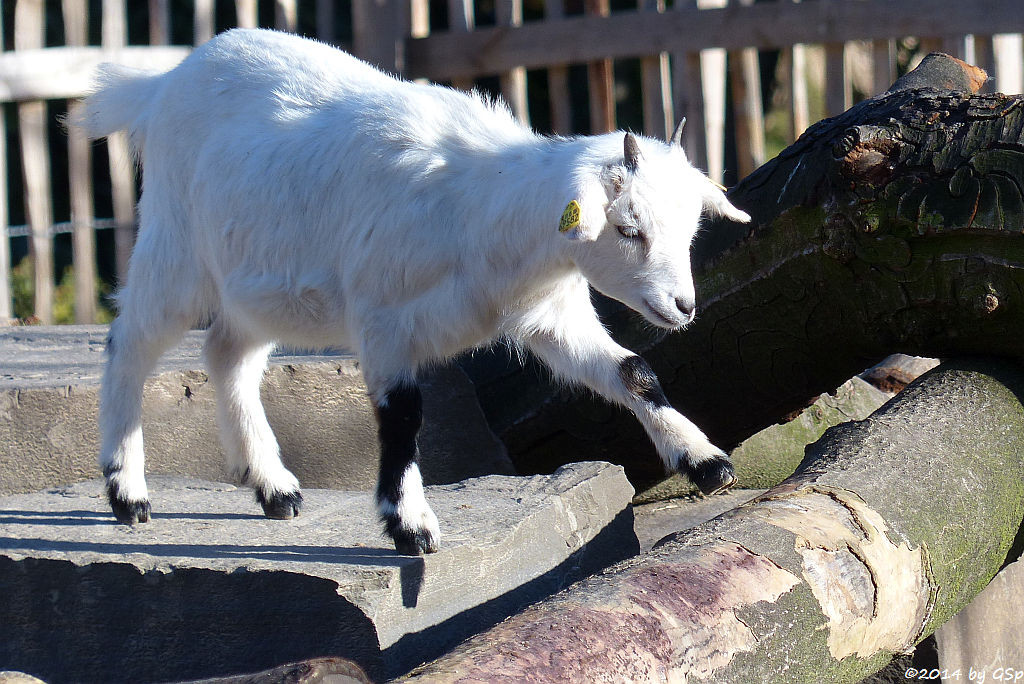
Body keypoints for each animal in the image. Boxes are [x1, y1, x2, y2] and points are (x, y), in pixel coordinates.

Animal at [75, 29, 749, 557]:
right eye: (629, 229)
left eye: (691, 228)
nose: (684, 307)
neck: (481, 208)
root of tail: (164, 82)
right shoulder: (382, 319)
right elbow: (402, 414)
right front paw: (410, 525)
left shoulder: (549, 317)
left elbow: (634, 371)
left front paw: (703, 460)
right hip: (176, 251)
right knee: (128, 344)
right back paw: (127, 491)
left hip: (261, 287)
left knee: (227, 354)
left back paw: (273, 485)